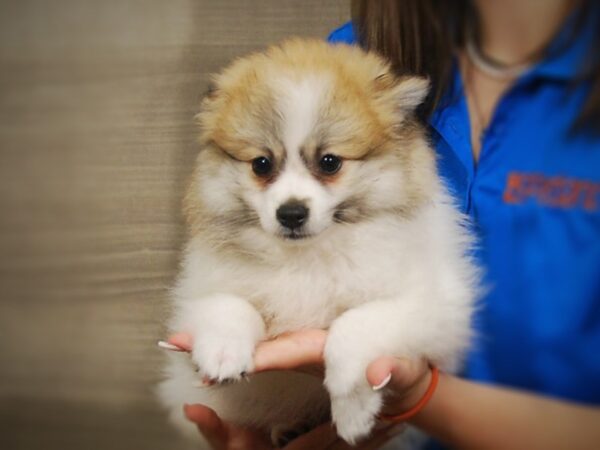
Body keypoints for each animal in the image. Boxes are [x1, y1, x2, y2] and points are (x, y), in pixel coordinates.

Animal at [158, 39, 478, 446]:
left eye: (329, 162)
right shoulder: (199, 289)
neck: (308, 255)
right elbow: (227, 303)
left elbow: (356, 322)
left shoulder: (436, 307)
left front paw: (349, 400)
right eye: (261, 164)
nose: (291, 213)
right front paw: (223, 351)